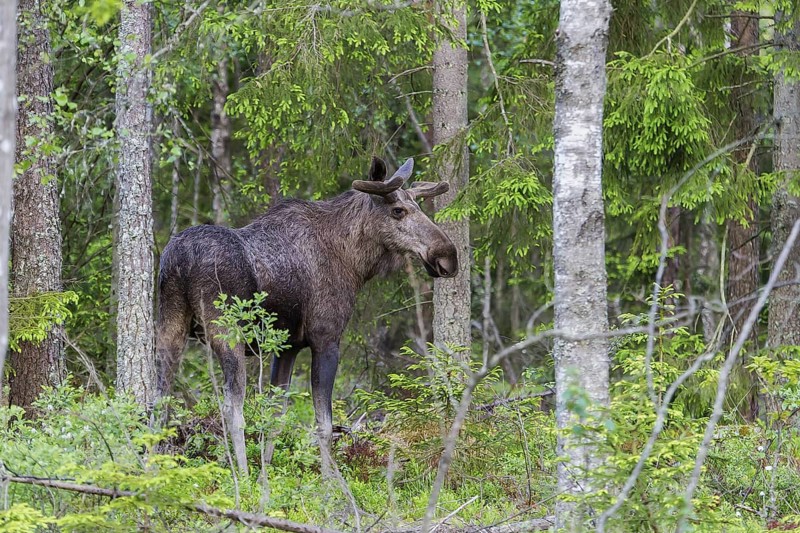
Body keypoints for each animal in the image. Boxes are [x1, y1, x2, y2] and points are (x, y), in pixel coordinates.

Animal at [156, 157, 457, 475]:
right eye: (398, 210)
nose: (448, 257)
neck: (355, 262)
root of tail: (181, 259)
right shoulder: (326, 339)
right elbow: (324, 425)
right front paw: (329, 482)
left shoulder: (287, 347)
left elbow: (276, 415)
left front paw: (266, 473)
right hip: (227, 331)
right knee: (231, 409)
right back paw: (242, 474)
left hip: (170, 324)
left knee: (158, 399)